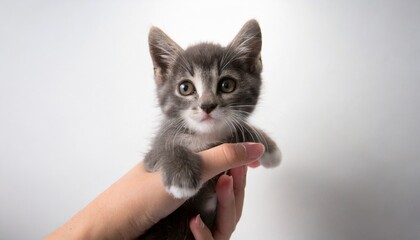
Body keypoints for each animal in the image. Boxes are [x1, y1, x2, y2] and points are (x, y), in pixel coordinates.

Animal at [139, 19, 280, 240]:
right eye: (185, 88)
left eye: (227, 85)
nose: (207, 105)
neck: (206, 136)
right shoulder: (149, 161)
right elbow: (167, 147)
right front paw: (181, 176)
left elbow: (238, 127)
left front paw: (268, 146)